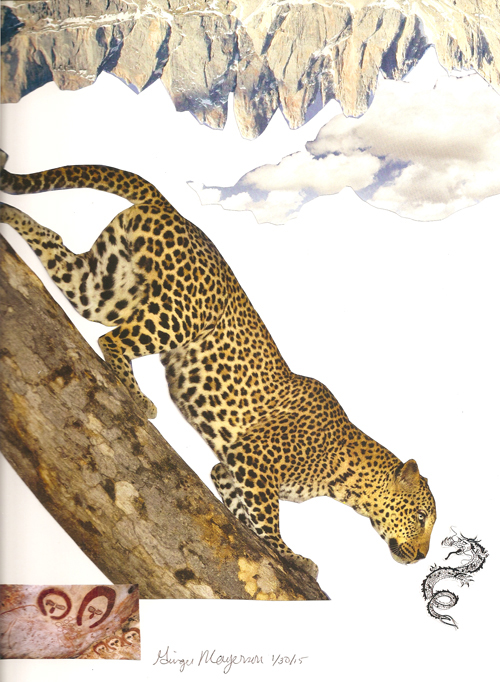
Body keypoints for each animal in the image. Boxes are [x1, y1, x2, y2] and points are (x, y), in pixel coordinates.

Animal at [0, 151, 436, 578]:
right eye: (419, 517)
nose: (420, 558)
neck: (346, 478)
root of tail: (173, 210)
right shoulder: (255, 458)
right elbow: (269, 522)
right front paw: (294, 557)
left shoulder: (230, 468)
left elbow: (242, 511)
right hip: (181, 314)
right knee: (112, 339)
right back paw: (138, 398)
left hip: (106, 287)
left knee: (56, 246)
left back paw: (7, 215)